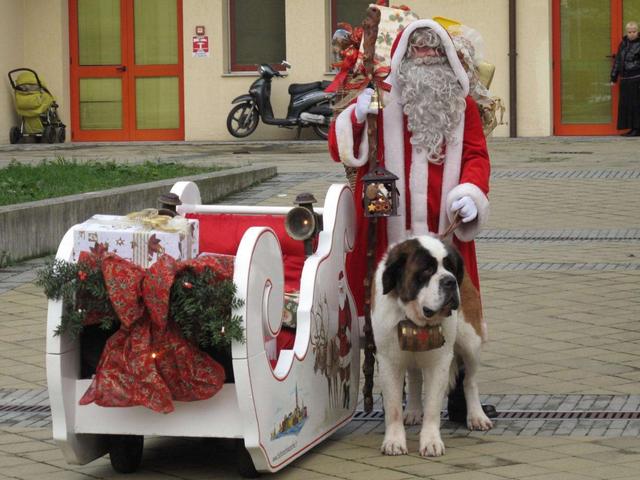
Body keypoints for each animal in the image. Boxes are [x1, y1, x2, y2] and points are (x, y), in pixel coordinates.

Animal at [372, 235, 492, 458]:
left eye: (450, 267)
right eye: (427, 270)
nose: (450, 281)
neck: (413, 316)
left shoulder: (439, 363)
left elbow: (433, 406)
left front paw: (431, 442)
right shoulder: (389, 361)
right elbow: (393, 407)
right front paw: (394, 441)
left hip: (470, 341)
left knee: (469, 380)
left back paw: (476, 416)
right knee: (415, 378)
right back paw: (412, 410)